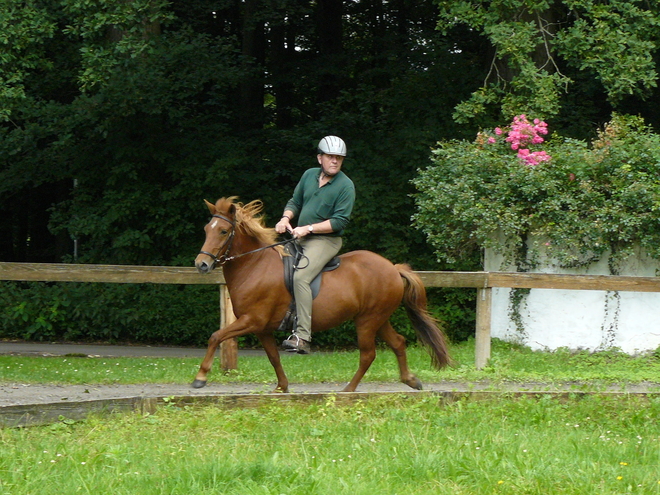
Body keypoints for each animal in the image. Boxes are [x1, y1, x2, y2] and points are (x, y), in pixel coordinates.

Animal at [191, 196, 448, 394]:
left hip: (367, 321)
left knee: (368, 354)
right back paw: (410, 380)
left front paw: (200, 378)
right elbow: (273, 357)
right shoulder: (262, 328)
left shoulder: (251, 321)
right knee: (397, 343)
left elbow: (215, 336)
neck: (254, 265)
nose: (201, 264)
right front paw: (281, 387)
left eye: (223, 231)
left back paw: (348, 390)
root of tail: (393, 268)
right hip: (378, 319)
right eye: (206, 230)